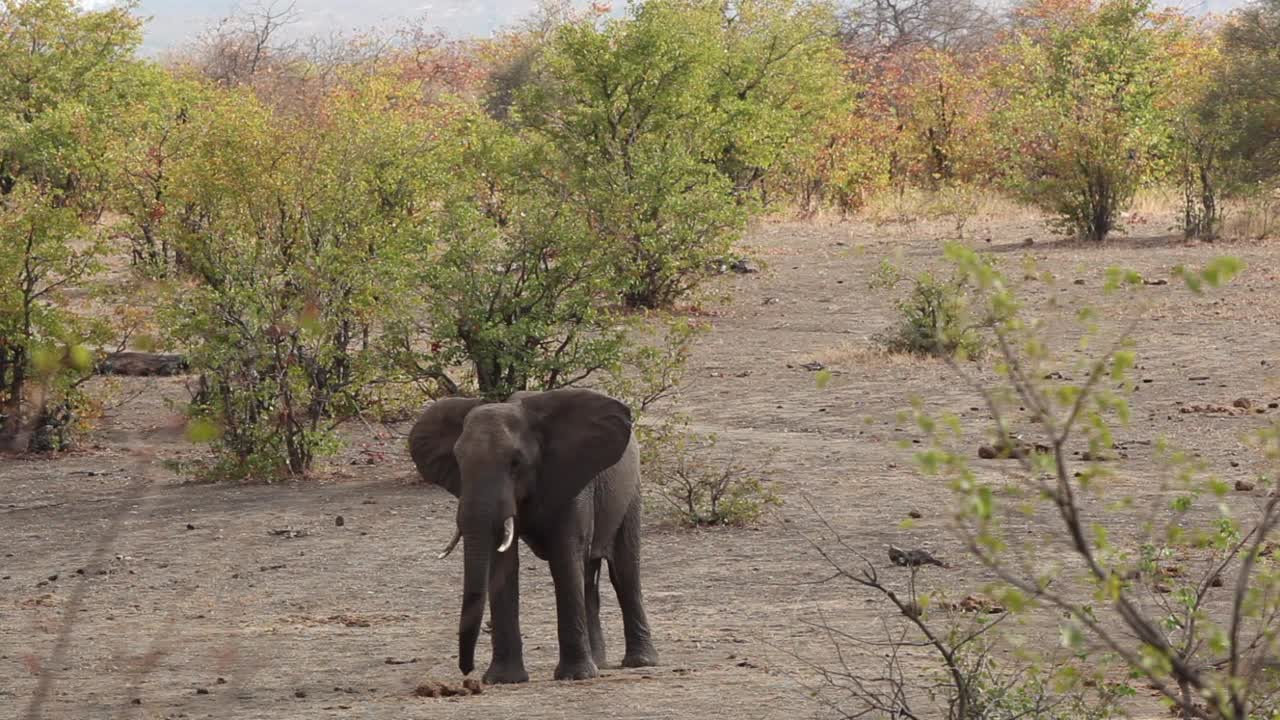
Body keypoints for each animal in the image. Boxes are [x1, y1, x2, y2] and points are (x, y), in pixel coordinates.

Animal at [407, 386, 660, 676]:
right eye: (458, 462)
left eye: (515, 462)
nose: (467, 671)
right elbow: (503, 561)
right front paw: (504, 679)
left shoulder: (570, 478)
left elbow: (565, 557)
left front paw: (574, 676)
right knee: (588, 578)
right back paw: (599, 663)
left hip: (631, 493)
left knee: (624, 572)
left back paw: (639, 662)